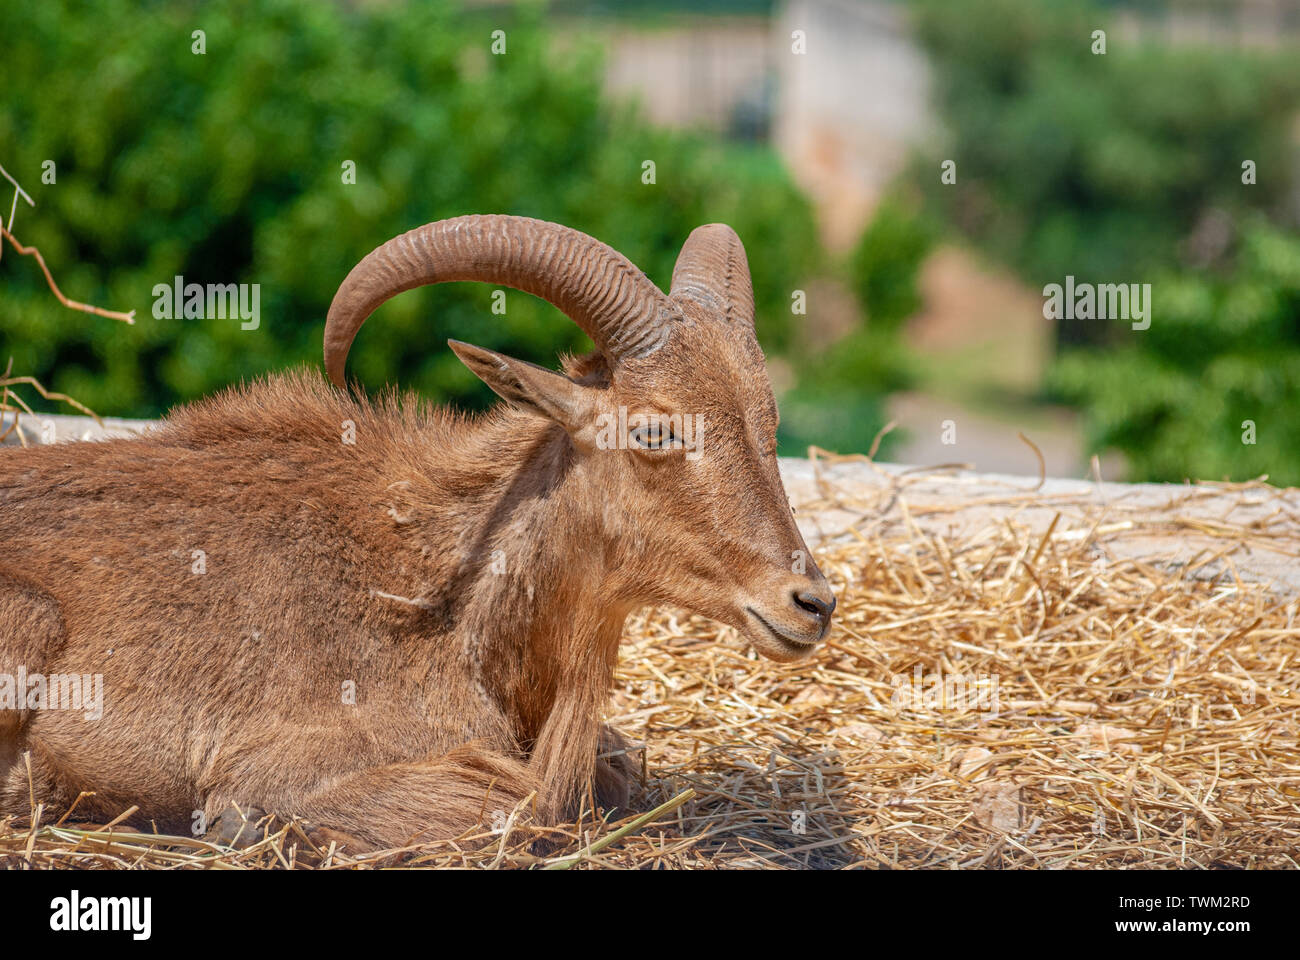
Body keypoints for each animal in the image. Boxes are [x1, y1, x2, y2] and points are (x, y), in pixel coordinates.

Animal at [0, 214, 832, 842]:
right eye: (655, 431)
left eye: (767, 421)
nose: (812, 602)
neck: (446, 608)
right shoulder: (269, 771)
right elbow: (521, 805)